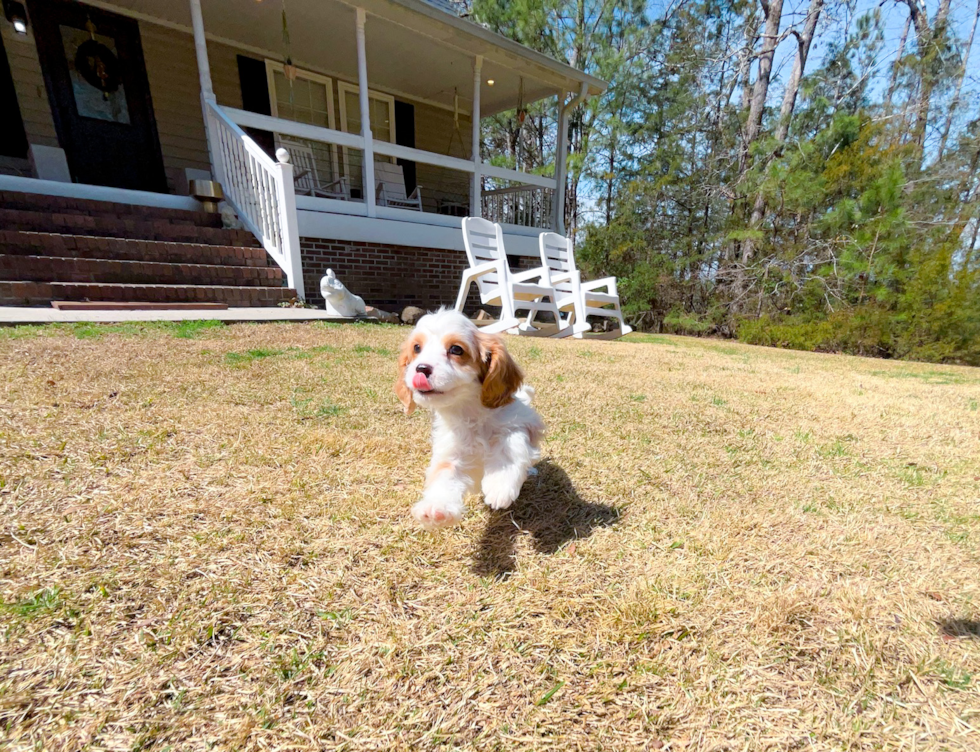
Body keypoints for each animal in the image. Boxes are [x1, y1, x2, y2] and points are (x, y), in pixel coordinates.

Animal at [398, 306, 552, 528]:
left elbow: (509, 446)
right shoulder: (452, 451)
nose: (421, 368)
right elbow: (445, 473)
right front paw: (436, 507)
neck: (469, 410)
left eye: (456, 349)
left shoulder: (521, 423)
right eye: (417, 348)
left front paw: (499, 484)